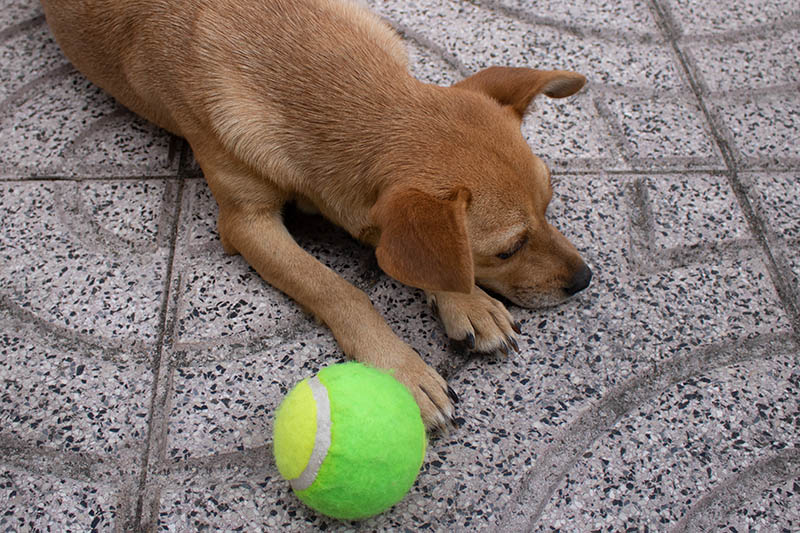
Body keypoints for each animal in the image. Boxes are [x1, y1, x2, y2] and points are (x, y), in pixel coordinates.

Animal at [42, 0, 592, 430]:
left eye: (550, 204)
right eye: (508, 249)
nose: (585, 280)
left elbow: (425, 260)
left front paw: (469, 302)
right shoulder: (247, 223)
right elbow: (340, 290)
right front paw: (402, 369)